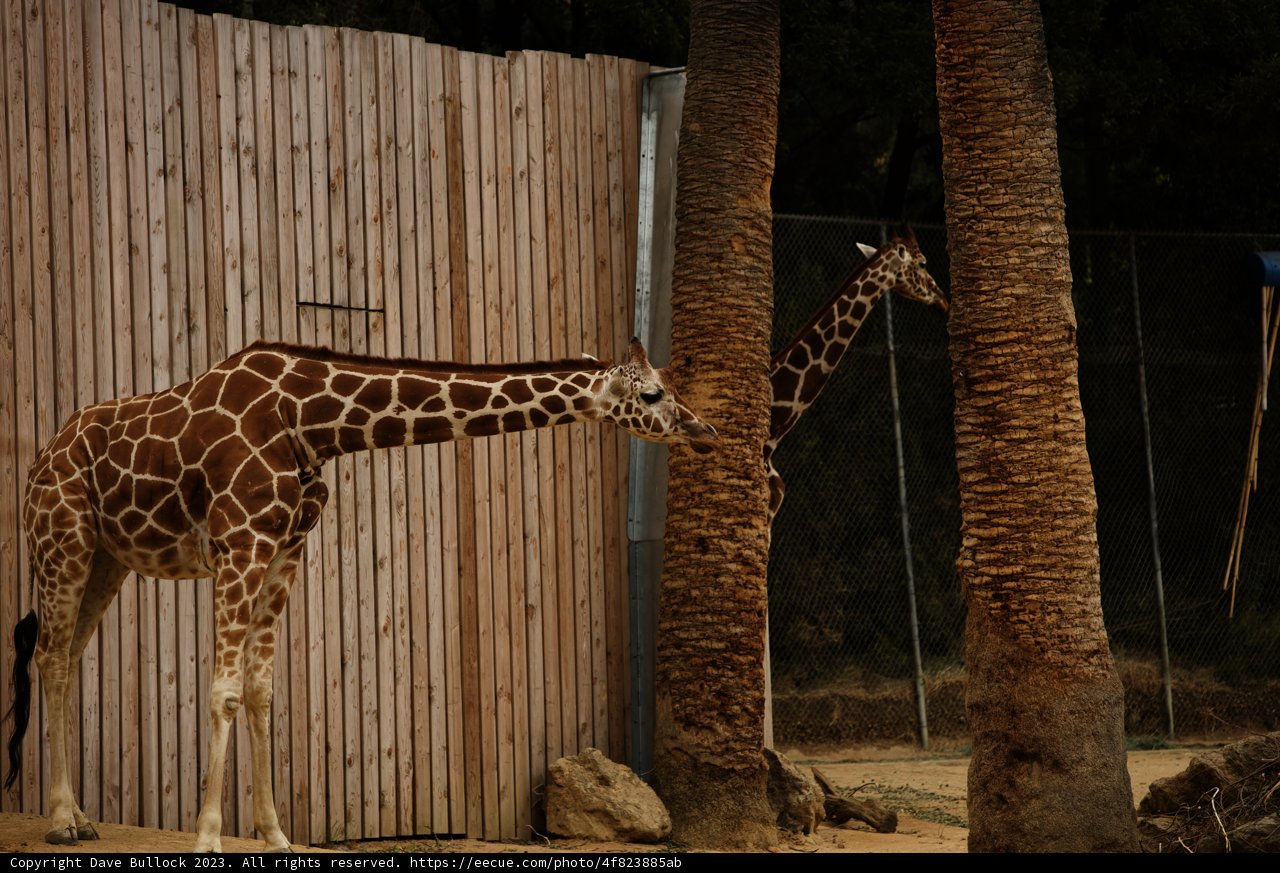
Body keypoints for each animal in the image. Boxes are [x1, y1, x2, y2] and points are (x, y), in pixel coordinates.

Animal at [5, 338, 718, 852]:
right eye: (653, 392)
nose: (703, 429)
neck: (313, 422)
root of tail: (41, 455)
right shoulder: (240, 543)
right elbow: (224, 689)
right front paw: (207, 837)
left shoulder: (286, 551)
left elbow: (261, 689)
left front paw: (275, 835)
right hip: (62, 542)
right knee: (50, 657)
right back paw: (61, 822)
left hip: (108, 560)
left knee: (65, 656)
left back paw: (81, 818)